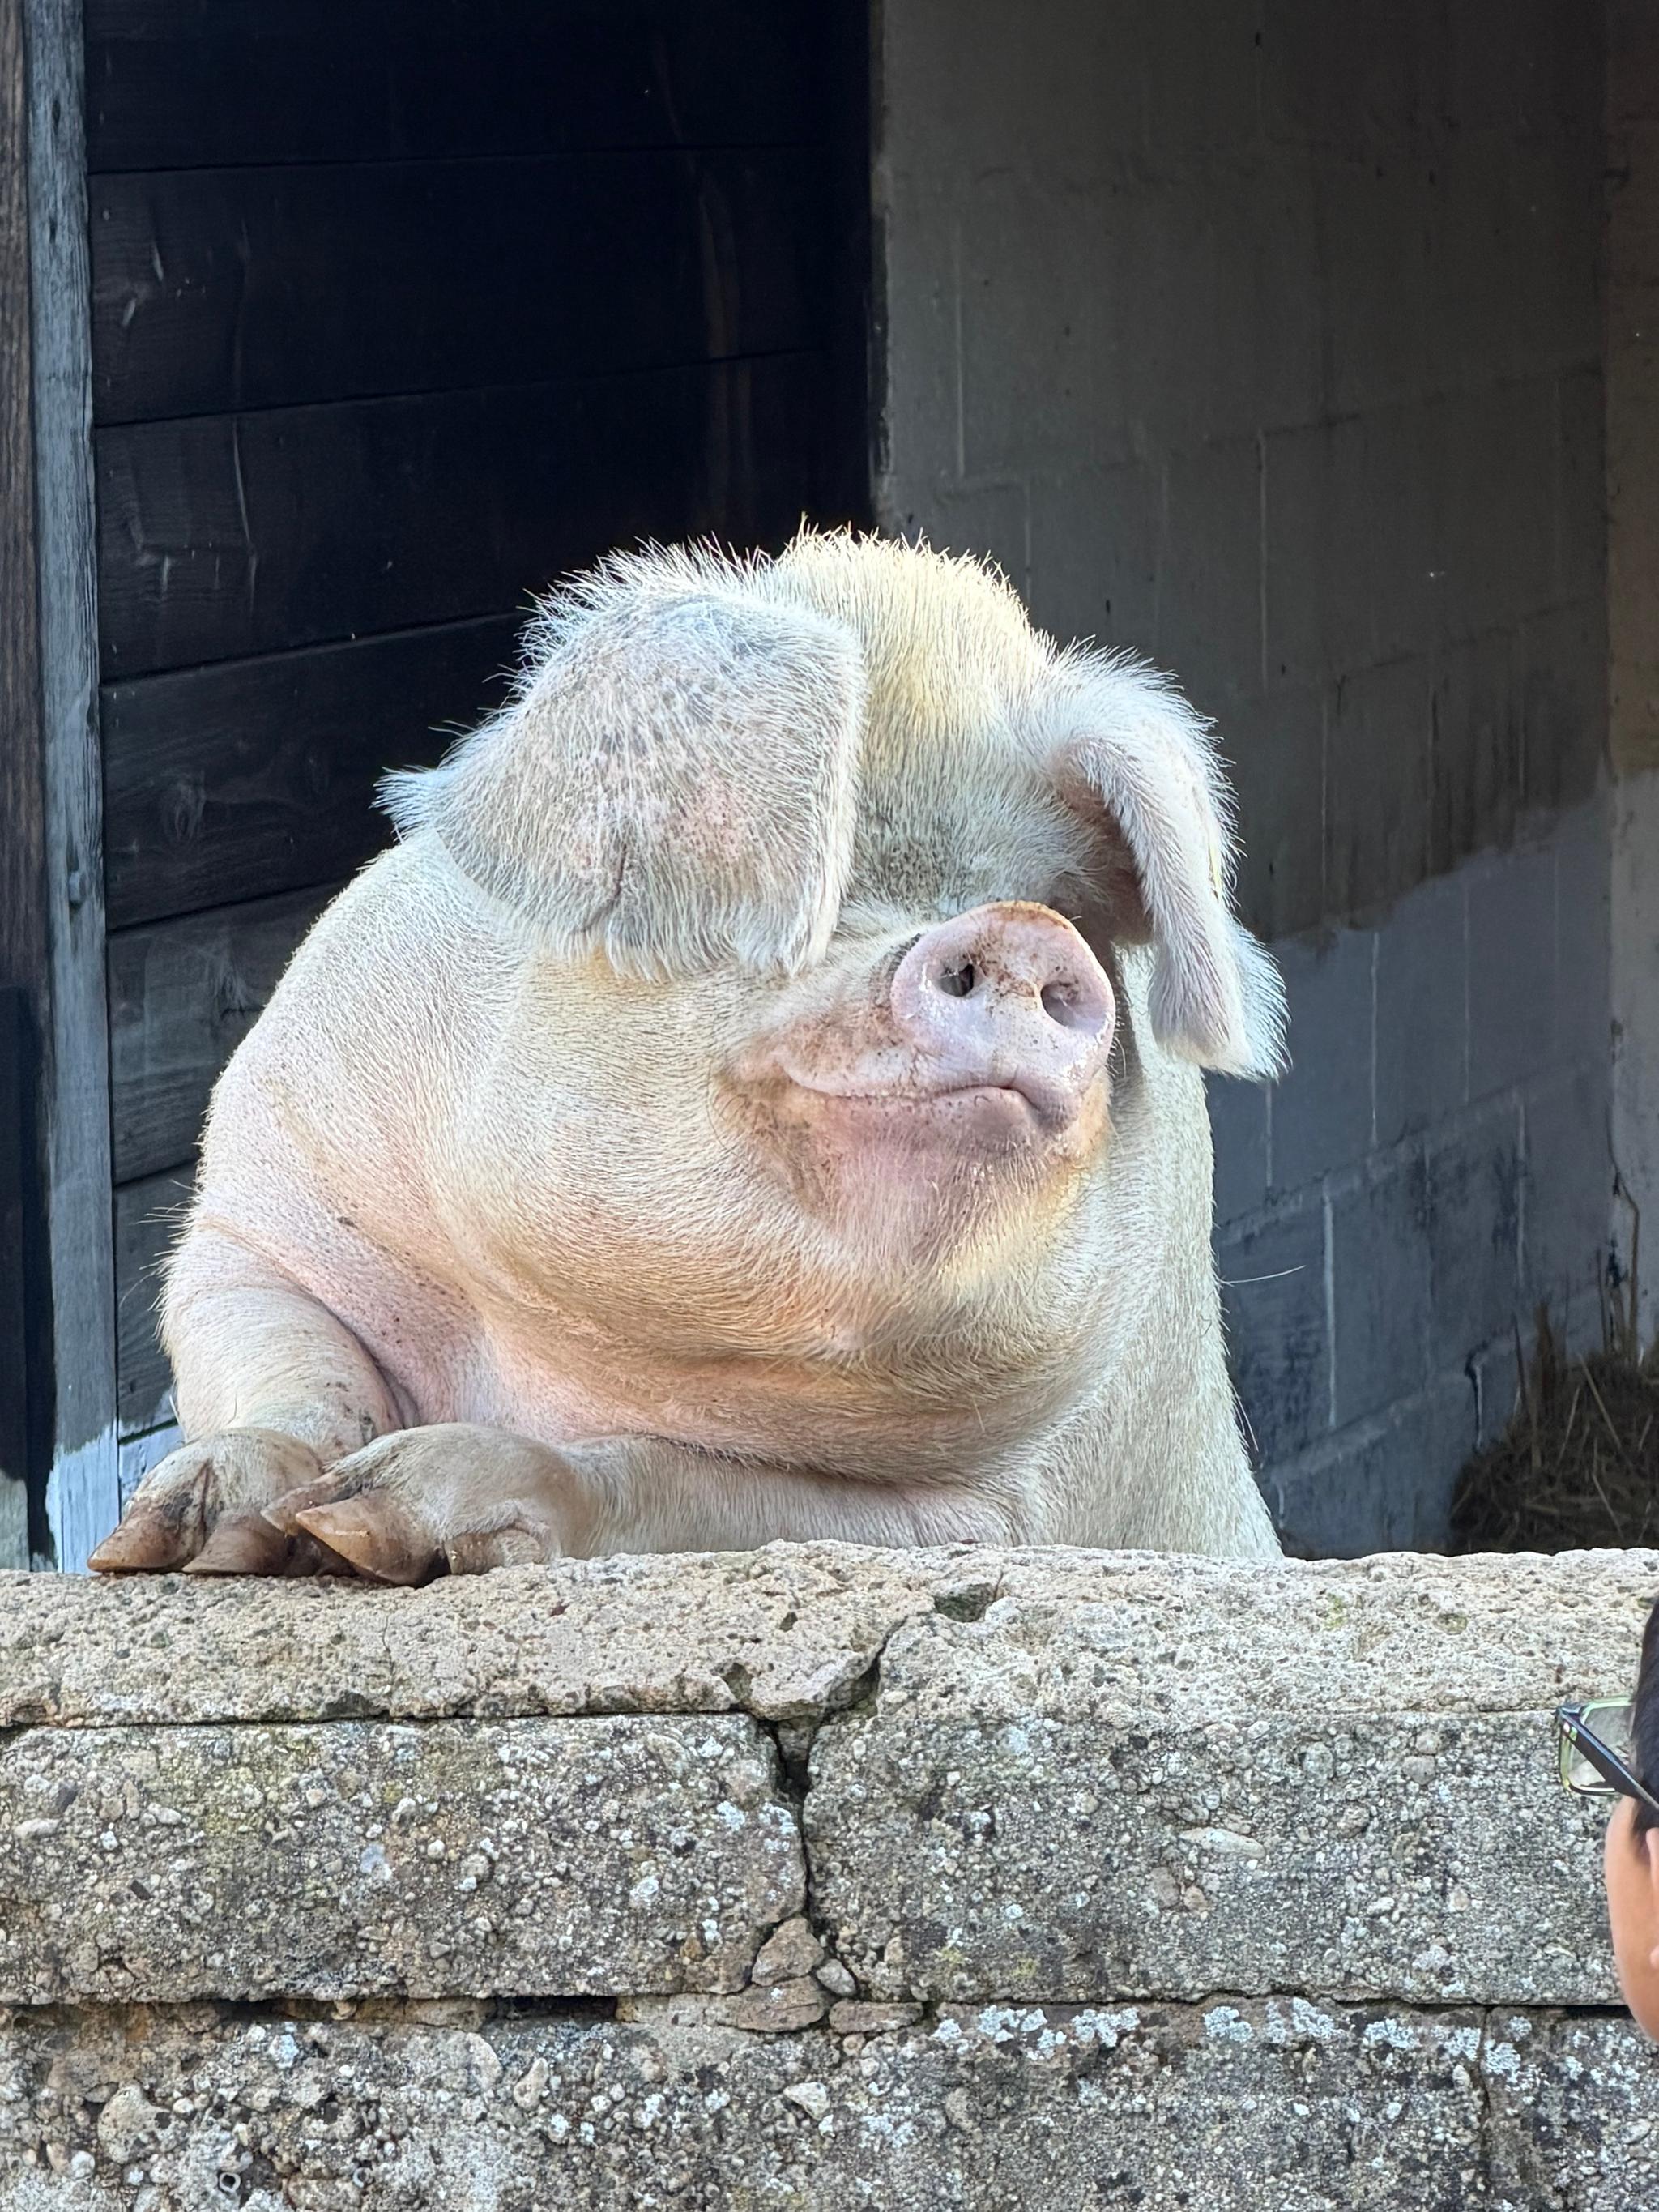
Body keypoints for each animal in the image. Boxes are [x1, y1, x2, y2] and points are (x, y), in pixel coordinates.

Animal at [90, 529, 1287, 1582]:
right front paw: (187, 1543)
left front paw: (364, 1528)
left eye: (1061, 899)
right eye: (811, 883)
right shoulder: (263, 1210)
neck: (557, 1349)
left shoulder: (1012, 1505)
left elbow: (669, 1482)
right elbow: (293, 1368)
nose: (1023, 932)